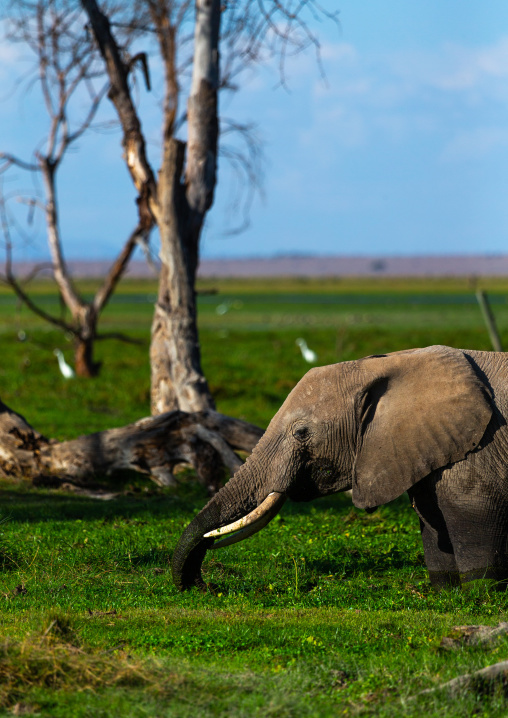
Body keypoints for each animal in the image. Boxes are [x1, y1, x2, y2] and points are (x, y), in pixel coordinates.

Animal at [172, 345, 508, 592]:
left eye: (301, 433)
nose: (203, 587)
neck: (398, 362)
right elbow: (432, 521)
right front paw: (446, 596)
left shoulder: (479, 449)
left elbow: (472, 520)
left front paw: (480, 598)